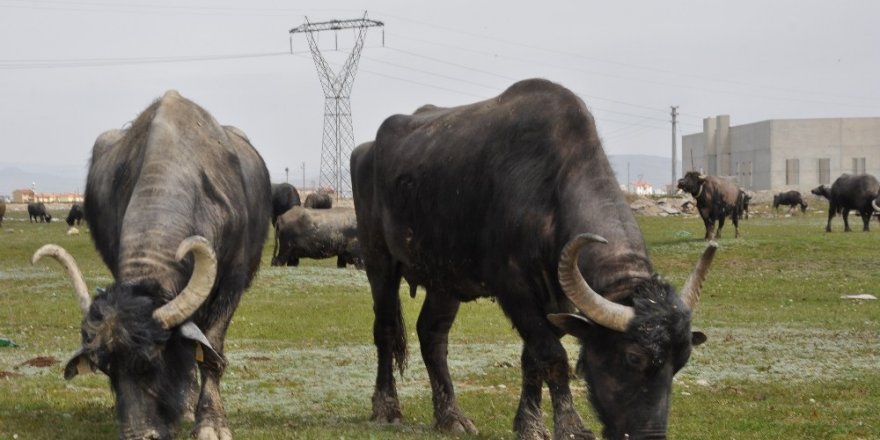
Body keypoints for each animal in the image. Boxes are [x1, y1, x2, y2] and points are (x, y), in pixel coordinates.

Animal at [31, 90, 270, 440]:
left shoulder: (232, 282)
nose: (139, 434)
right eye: (105, 367)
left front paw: (211, 422)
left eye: (152, 359)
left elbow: (210, 352)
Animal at [350, 79, 716, 440]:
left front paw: (529, 423)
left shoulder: (558, 300)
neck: (549, 190)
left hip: (445, 280)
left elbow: (533, 360)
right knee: (385, 328)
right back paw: (386, 408)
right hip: (379, 260)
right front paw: (571, 427)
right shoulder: (514, 291)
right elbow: (553, 357)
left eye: (681, 361)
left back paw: (451, 416)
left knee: (432, 335)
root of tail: (365, 150)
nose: (651, 434)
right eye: (633, 357)